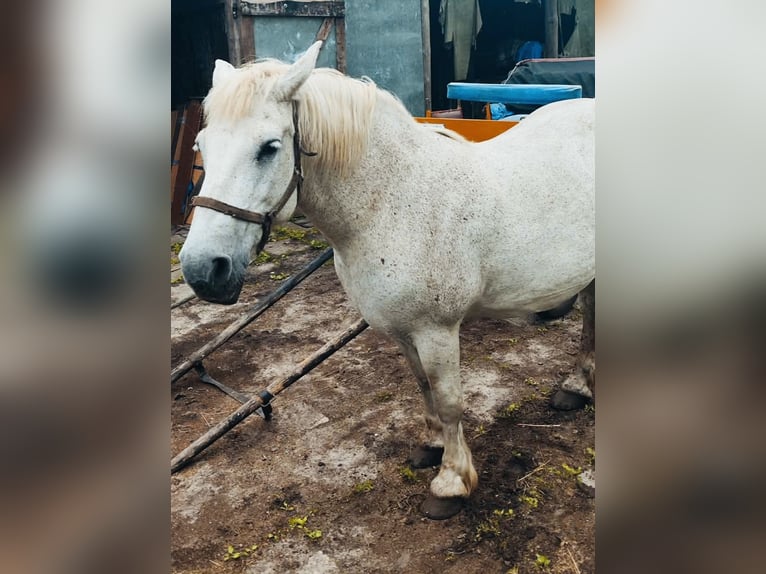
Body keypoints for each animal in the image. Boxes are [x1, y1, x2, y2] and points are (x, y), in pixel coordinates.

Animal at [180, 42, 595, 519]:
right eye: (201, 146)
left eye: (269, 148)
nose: (202, 269)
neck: (391, 203)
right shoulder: (402, 330)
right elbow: (424, 388)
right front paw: (432, 446)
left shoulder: (437, 330)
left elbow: (450, 400)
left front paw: (451, 483)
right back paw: (577, 388)